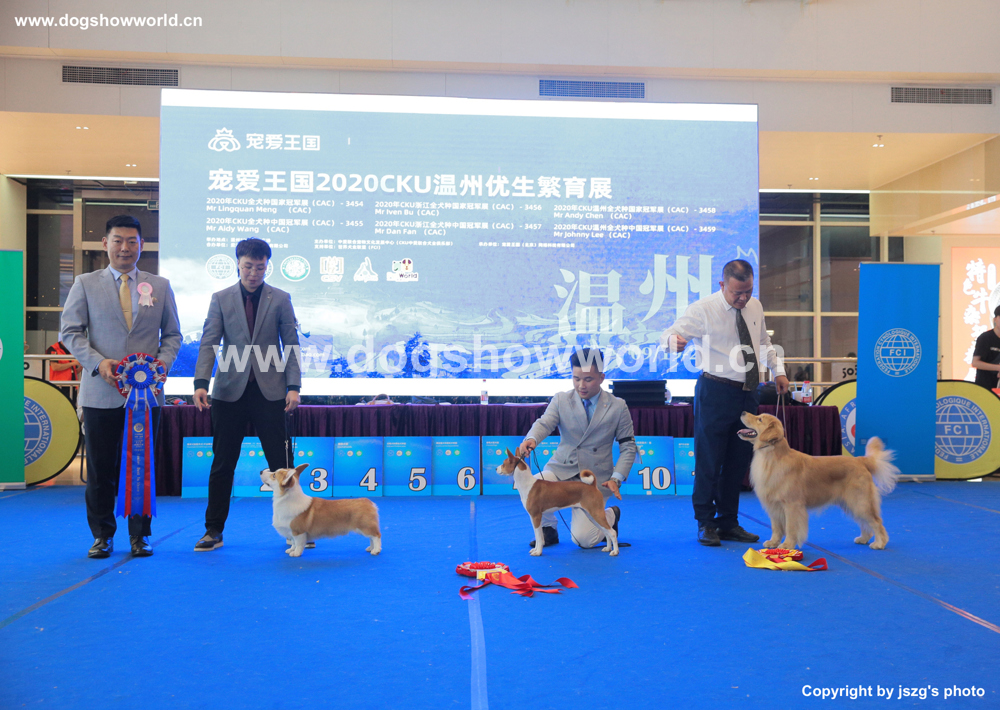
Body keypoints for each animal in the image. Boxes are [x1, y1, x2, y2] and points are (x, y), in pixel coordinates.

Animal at [738, 413, 899, 550]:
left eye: (759, 419)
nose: (743, 412)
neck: (771, 457)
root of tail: (860, 460)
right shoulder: (774, 505)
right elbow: (776, 527)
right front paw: (773, 542)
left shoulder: (792, 505)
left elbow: (791, 527)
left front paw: (787, 545)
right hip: (851, 503)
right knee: (865, 523)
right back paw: (863, 539)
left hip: (860, 501)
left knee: (876, 522)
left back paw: (879, 543)